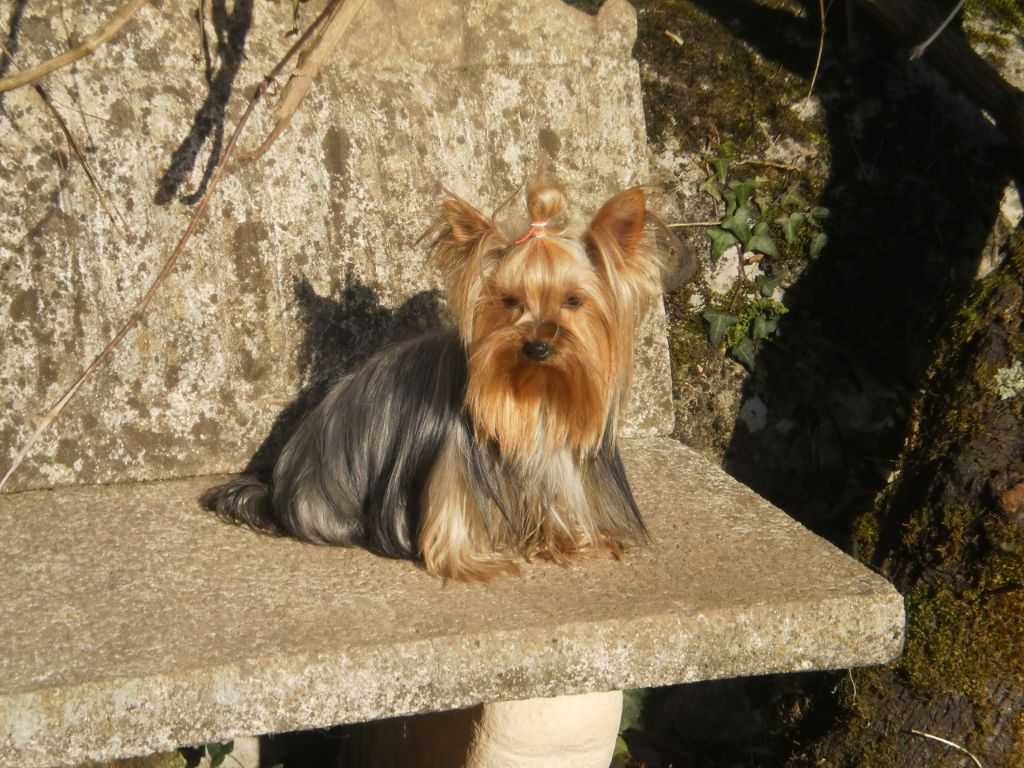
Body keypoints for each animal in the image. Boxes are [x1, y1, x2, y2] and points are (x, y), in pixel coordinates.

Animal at [203, 175, 665, 581]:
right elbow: (451, 506)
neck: (536, 394)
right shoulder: (455, 455)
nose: (536, 347)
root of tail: (277, 485)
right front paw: (474, 564)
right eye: (509, 301)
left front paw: (578, 542)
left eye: (573, 301)